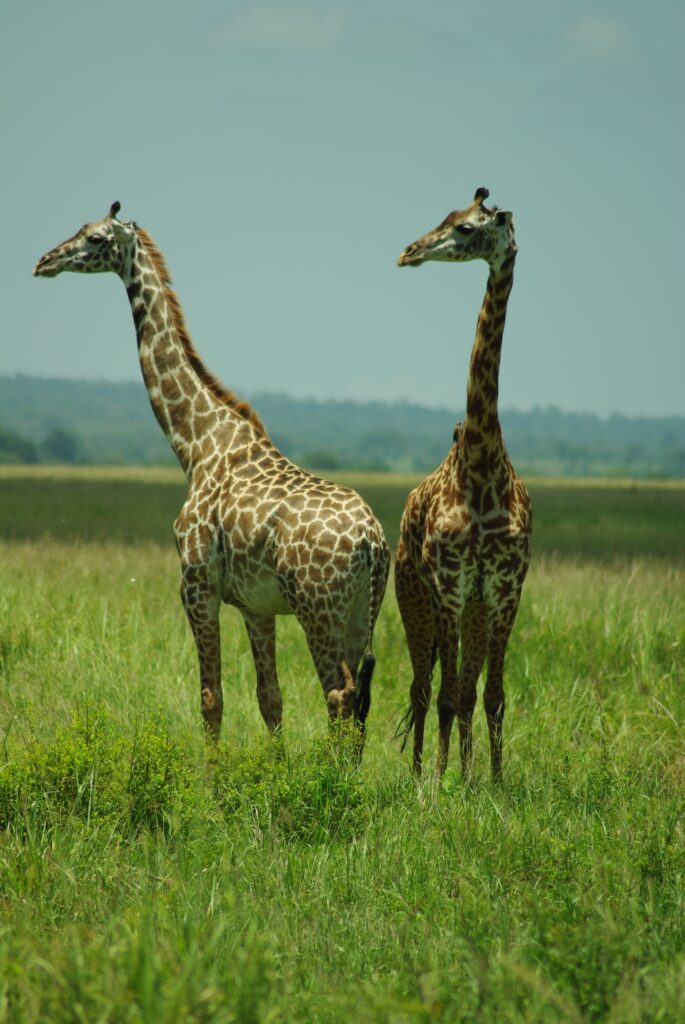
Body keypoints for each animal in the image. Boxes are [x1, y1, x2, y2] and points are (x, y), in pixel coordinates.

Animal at [34, 202, 390, 743]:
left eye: (94, 238)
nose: (45, 261)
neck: (197, 444)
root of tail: (372, 540)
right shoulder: (255, 604)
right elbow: (270, 699)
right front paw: (276, 765)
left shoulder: (196, 586)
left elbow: (210, 698)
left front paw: (211, 770)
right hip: (361, 611)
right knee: (361, 700)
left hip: (318, 608)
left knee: (339, 696)